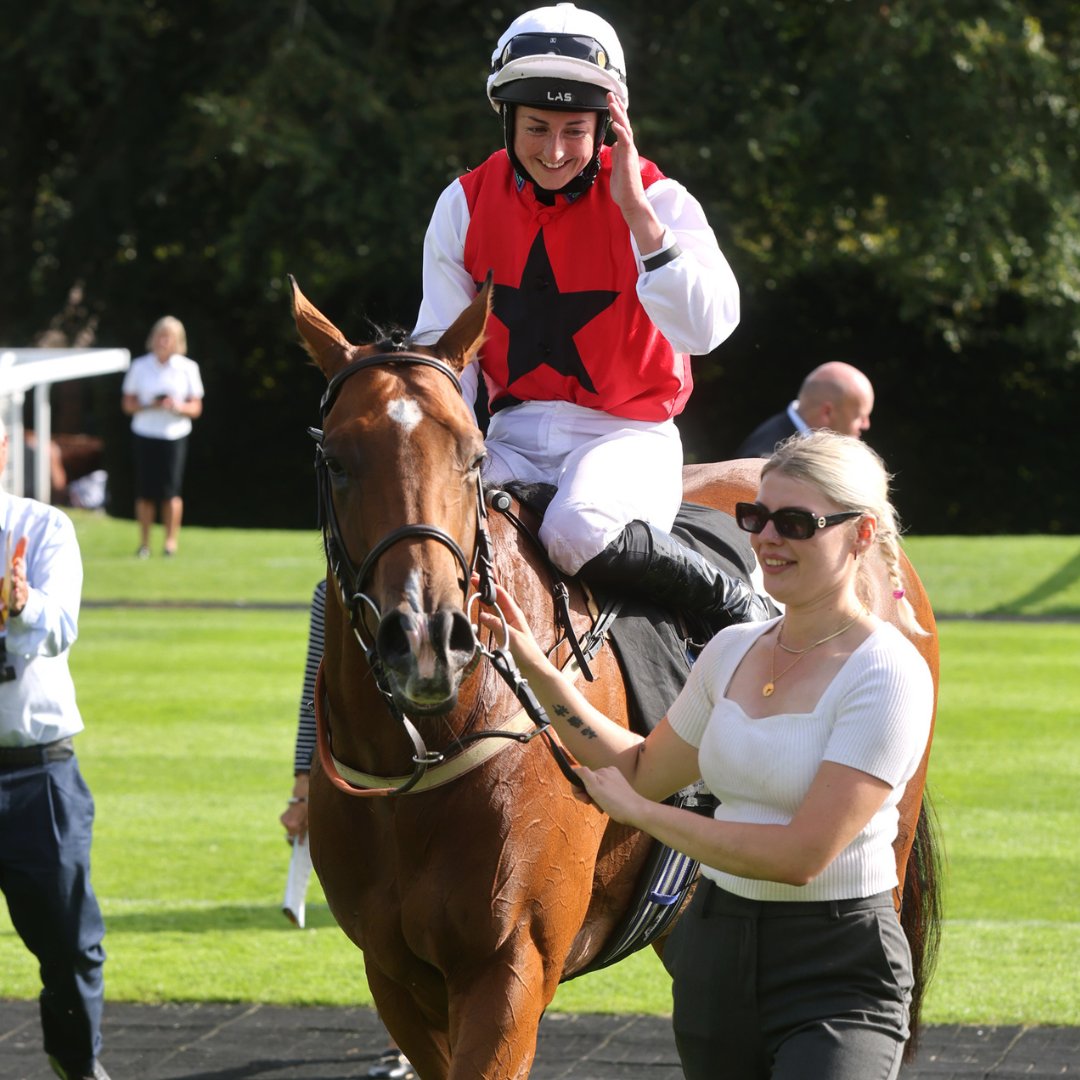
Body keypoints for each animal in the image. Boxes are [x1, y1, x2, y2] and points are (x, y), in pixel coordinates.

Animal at [291, 280, 941, 1080]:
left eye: (472, 457)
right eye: (337, 460)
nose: (426, 640)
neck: (427, 749)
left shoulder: (509, 968)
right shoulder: (395, 975)